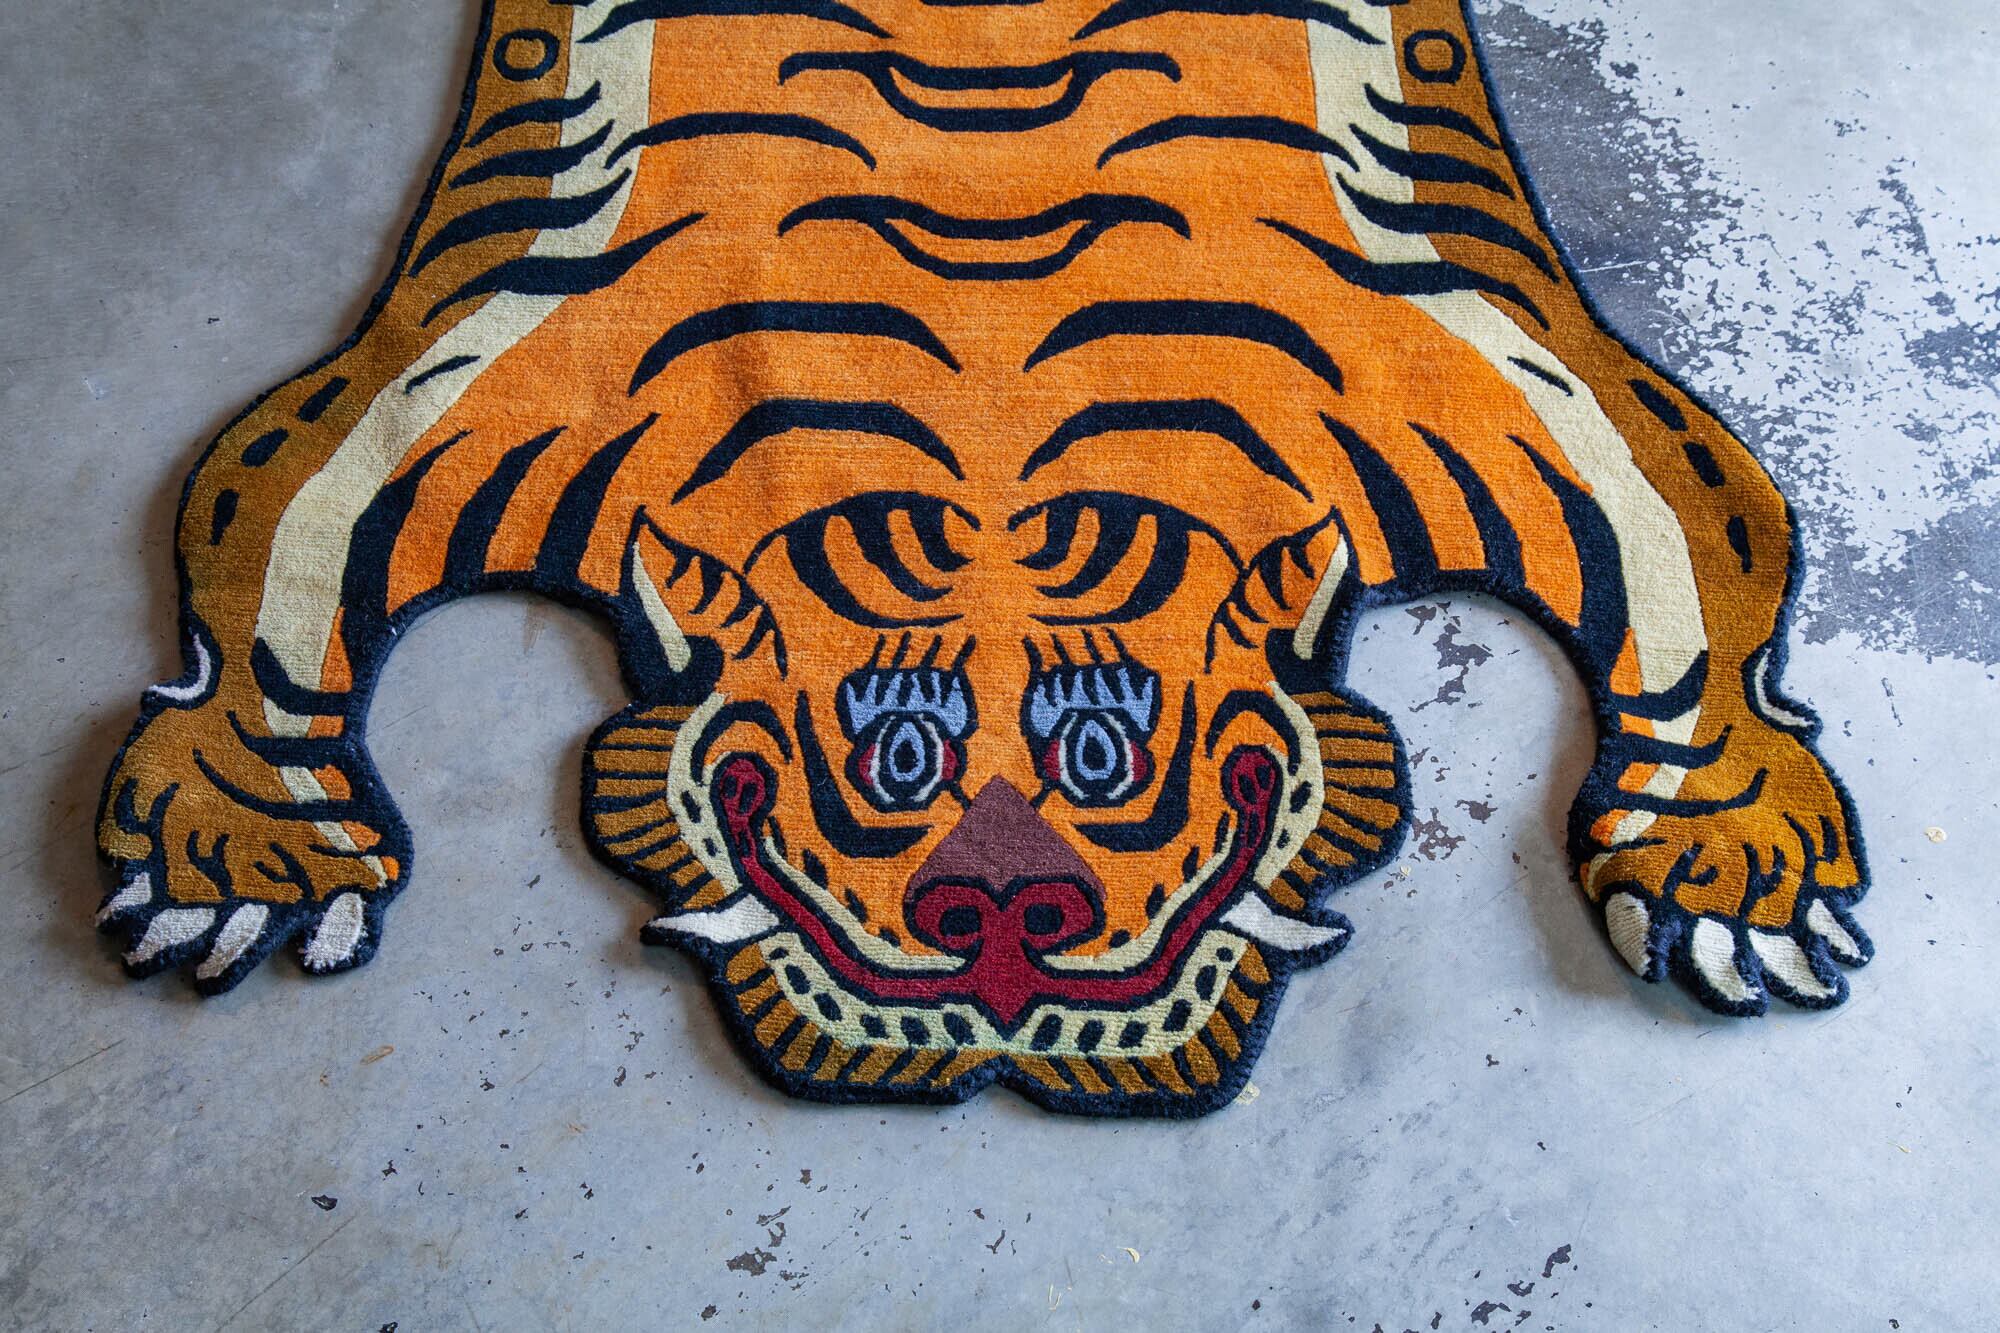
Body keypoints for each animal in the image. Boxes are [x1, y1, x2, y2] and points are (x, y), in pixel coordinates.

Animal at [95, 0, 1870, 1114]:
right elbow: (276, 538)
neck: (992, 424)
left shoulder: (1486, 373)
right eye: (894, 757)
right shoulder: (476, 376)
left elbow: (1692, 549)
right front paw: (246, 854)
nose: (1004, 899)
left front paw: (1728, 864)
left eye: (1105, 754)